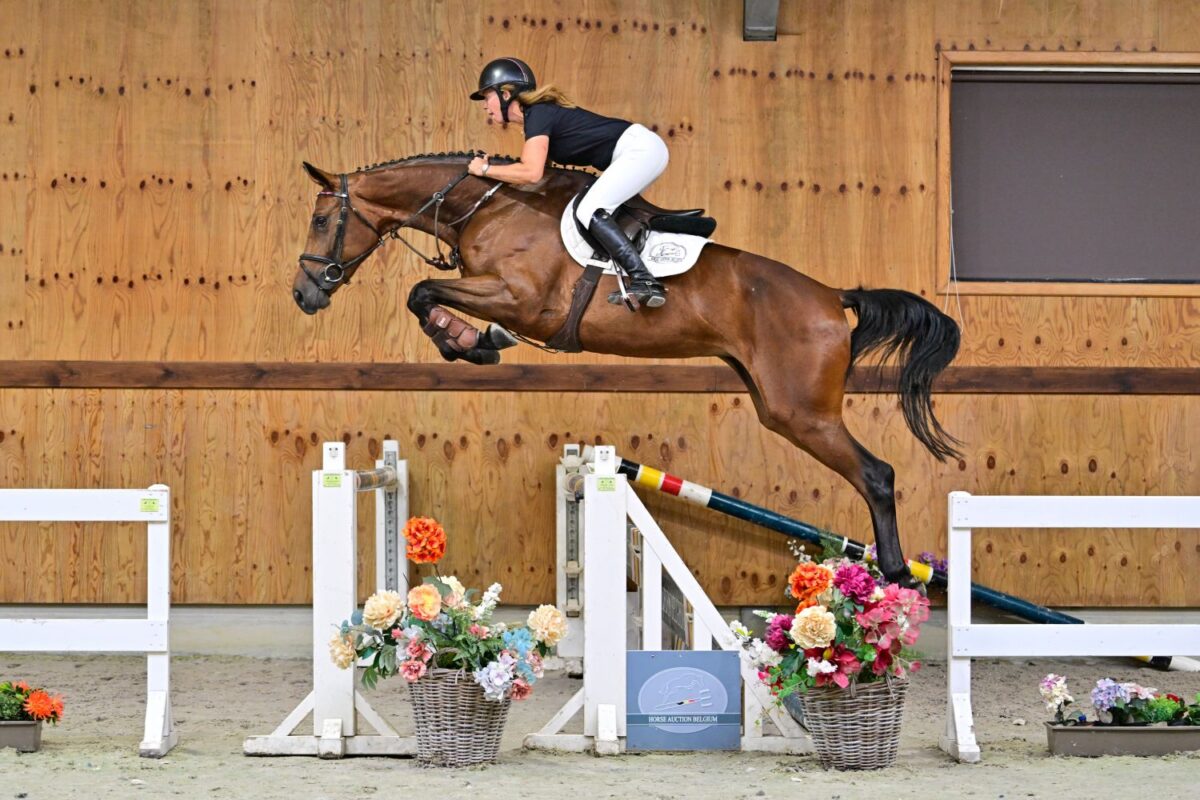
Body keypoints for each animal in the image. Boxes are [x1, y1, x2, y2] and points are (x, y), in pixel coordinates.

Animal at [292, 152, 961, 586]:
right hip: (775, 402)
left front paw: (469, 342)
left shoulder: (520, 298)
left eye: (322, 221)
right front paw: (473, 341)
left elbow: (423, 292)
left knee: (877, 474)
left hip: (802, 413)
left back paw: (898, 574)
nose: (304, 294)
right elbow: (427, 294)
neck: (485, 205)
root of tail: (830, 296)